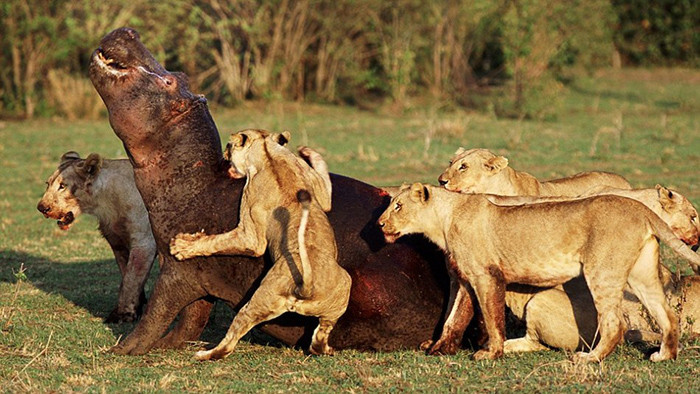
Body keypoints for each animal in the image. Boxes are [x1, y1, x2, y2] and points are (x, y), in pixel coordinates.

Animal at [37, 152, 157, 324]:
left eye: (63, 186)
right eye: (48, 183)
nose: (41, 208)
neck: (106, 204)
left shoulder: (144, 241)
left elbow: (131, 279)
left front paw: (122, 315)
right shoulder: (118, 242)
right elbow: (126, 274)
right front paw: (137, 307)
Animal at [167, 130, 348, 360]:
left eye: (230, 144)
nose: (224, 153)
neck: (267, 151)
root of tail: (306, 286)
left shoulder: (250, 234)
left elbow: (217, 241)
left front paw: (181, 246)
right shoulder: (321, 194)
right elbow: (324, 177)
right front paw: (307, 151)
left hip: (260, 300)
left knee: (230, 340)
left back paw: (204, 354)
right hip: (344, 288)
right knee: (320, 336)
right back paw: (326, 348)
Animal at [380, 183, 700, 362]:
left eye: (398, 206)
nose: (380, 224)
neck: (445, 218)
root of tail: (640, 208)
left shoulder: (486, 275)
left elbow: (492, 318)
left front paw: (490, 353)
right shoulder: (464, 278)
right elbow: (452, 318)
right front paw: (439, 348)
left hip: (601, 271)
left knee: (614, 323)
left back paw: (590, 359)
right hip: (641, 273)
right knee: (667, 315)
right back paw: (663, 356)